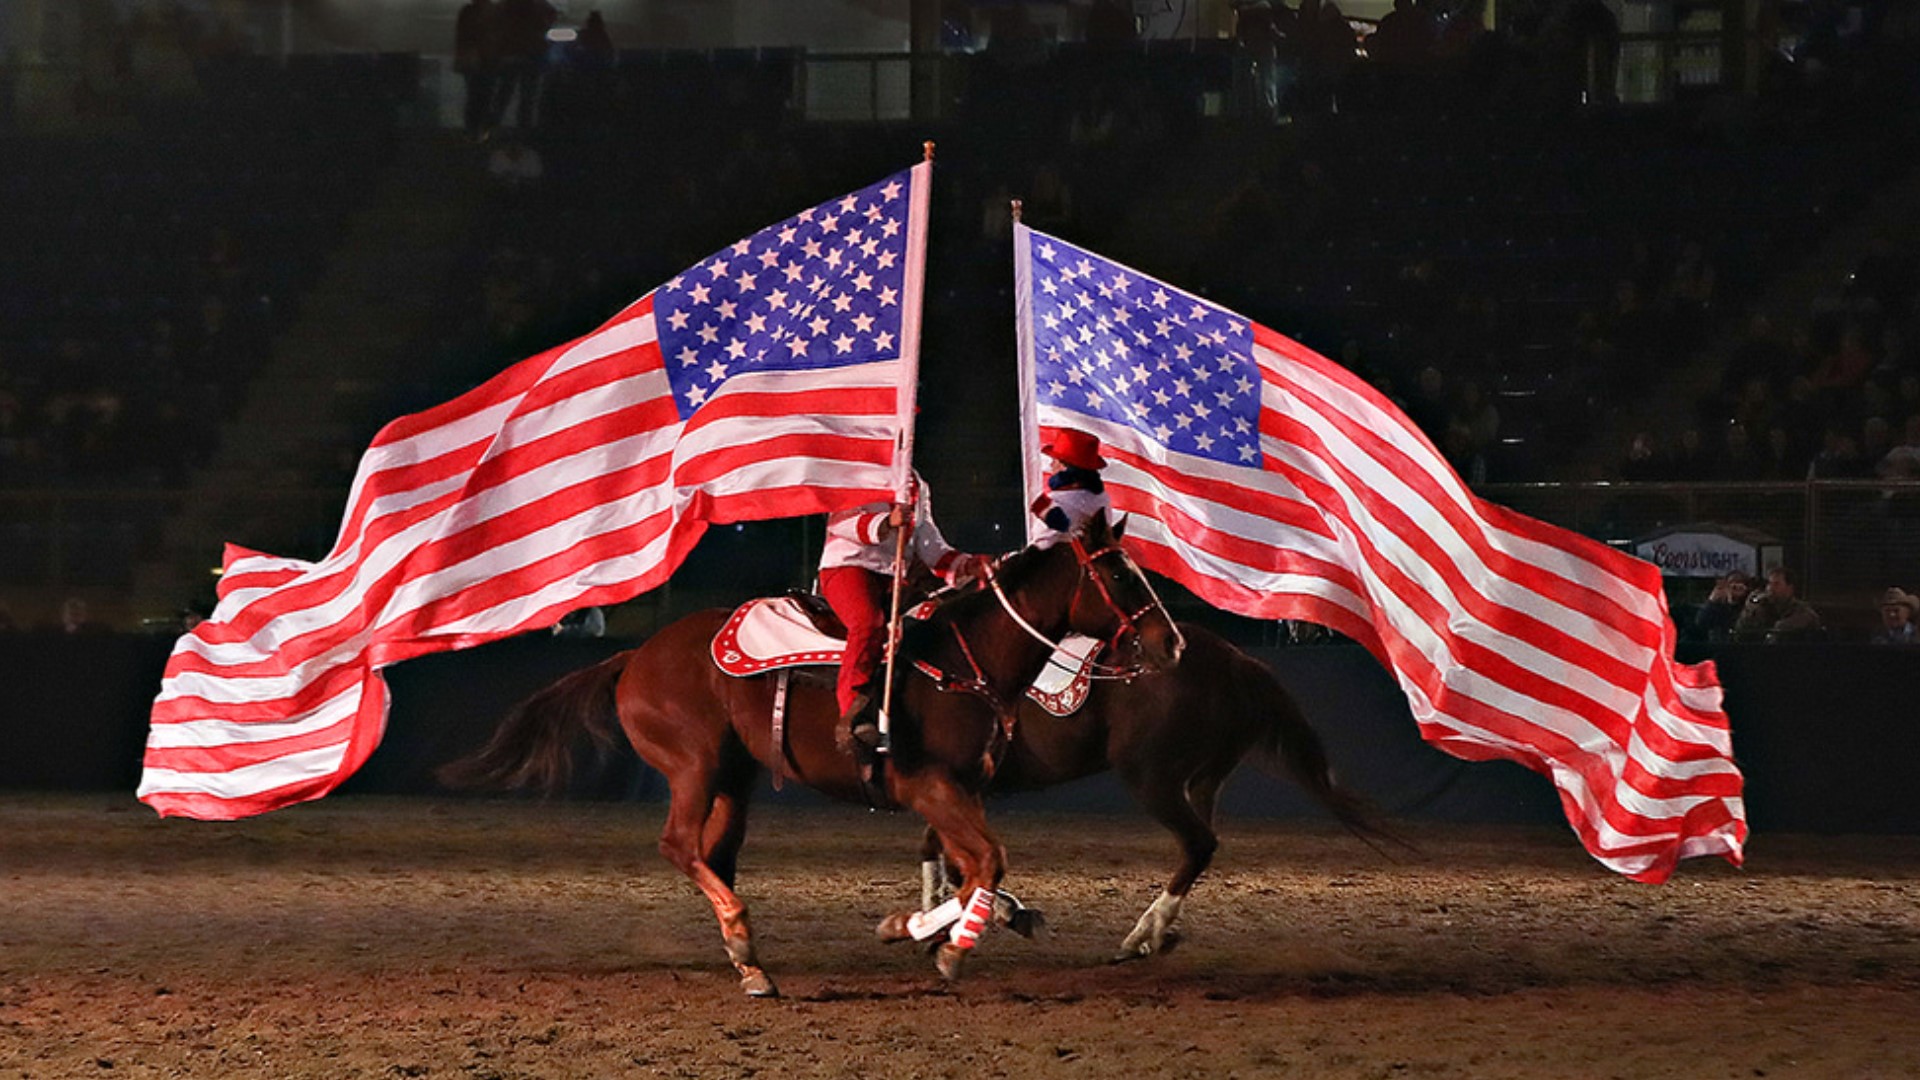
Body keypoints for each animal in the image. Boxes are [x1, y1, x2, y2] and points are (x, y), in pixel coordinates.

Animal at [443, 511, 1182, 991]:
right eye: (1121, 575)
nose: (1171, 644)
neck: (964, 657)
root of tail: (636, 656)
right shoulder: (930, 786)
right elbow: (986, 864)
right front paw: (938, 943)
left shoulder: (962, 791)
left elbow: (977, 869)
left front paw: (920, 929)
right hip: (693, 765)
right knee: (679, 845)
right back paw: (744, 941)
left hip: (734, 779)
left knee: (713, 855)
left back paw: (746, 958)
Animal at [917, 622, 1390, 957]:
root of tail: (1234, 660)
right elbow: (943, 853)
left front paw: (996, 913)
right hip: (1202, 781)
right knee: (1200, 846)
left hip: (1151, 778)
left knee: (1199, 844)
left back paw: (1146, 931)